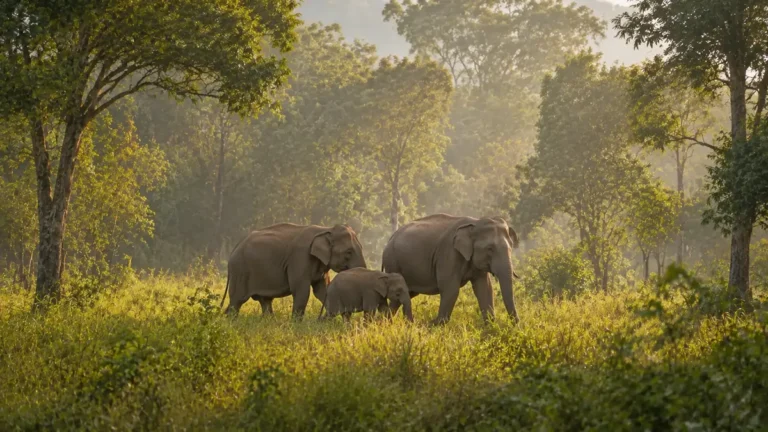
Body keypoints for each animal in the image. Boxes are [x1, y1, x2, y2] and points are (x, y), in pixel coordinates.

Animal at [221, 223, 367, 318]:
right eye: (348, 252)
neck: (326, 229)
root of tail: (234, 249)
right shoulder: (300, 258)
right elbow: (301, 291)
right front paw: (297, 325)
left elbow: (322, 290)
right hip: (240, 272)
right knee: (237, 300)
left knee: (265, 301)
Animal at [382, 214, 520, 325]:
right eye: (490, 249)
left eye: (511, 248)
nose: (515, 324)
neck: (475, 223)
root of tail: (390, 239)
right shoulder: (449, 254)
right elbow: (451, 289)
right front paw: (437, 324)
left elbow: (485, 288)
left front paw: (490, 326)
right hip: (393, 262)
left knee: (404, 296)